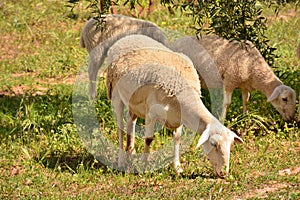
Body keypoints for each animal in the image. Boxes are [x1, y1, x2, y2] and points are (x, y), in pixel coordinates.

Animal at [106, 35, 243, 177]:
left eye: (231, 145)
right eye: (213, 144)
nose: (224, 173)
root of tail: (126, 37)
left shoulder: (179, 116)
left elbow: (177, 139)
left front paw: (177, 167)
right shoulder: (151, 112)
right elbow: (148, 139)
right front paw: (143, 165)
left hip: (133, 101)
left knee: (130, 121)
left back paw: (131, 151)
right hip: (115, 94)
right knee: (120, 128)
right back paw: (121, 160)